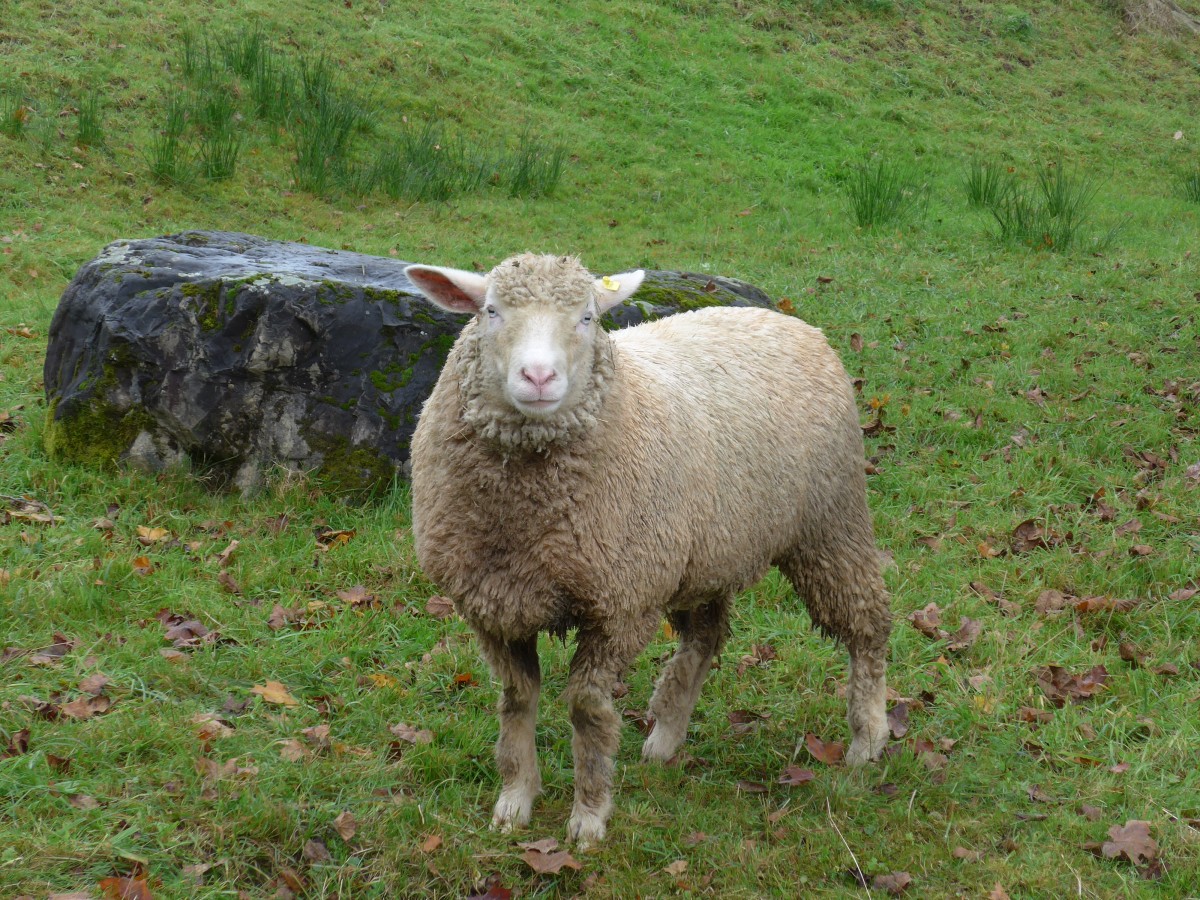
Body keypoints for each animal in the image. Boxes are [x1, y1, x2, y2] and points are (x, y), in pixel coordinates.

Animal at [404, 254, 891, 847]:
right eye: (491, 311)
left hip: (830, 521)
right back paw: (666, 737)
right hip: (701, 555)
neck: (523, 517)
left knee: (867, 622)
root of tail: (788, 320)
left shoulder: (620, 603)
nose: (539, 378)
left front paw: (589, 816)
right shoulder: (494, 604)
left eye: (588, 317)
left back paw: (867, 738)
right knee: (706, 637)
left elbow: (588, 710)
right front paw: (515, 801)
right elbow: (517, 701)